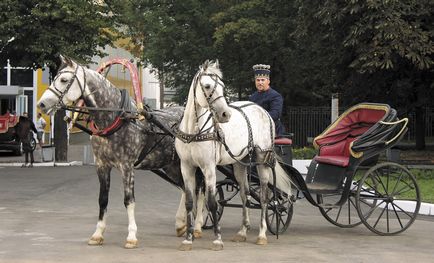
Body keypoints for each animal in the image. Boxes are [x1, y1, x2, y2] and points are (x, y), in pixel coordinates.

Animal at [175, 60, 282, 252]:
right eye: (207, 86)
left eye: (223, 87)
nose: (226, 114)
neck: (194, 130)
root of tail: (263, 111)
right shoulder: (186, 167)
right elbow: (189, 202)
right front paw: (188, 239)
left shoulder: (209, 168)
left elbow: (212, 202)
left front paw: (217, 239)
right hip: (240, 163)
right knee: (245, 194)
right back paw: (242, 232)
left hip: (262, 161)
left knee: (264, 197)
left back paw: (262, 235)